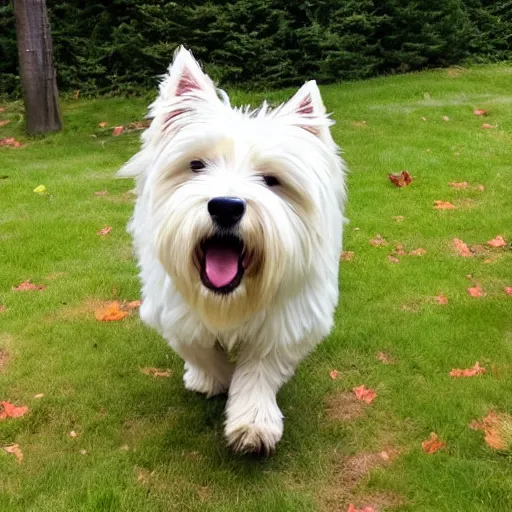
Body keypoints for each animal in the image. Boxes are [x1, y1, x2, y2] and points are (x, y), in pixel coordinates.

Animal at [118, 45, 346, 452]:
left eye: (272, 180)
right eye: (196, 165)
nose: (226, 206)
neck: (230, 298)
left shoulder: (287, 321)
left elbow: (259, 370)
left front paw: (253, 422)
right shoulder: (174, 309)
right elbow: (199, 349)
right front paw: (213, 379)